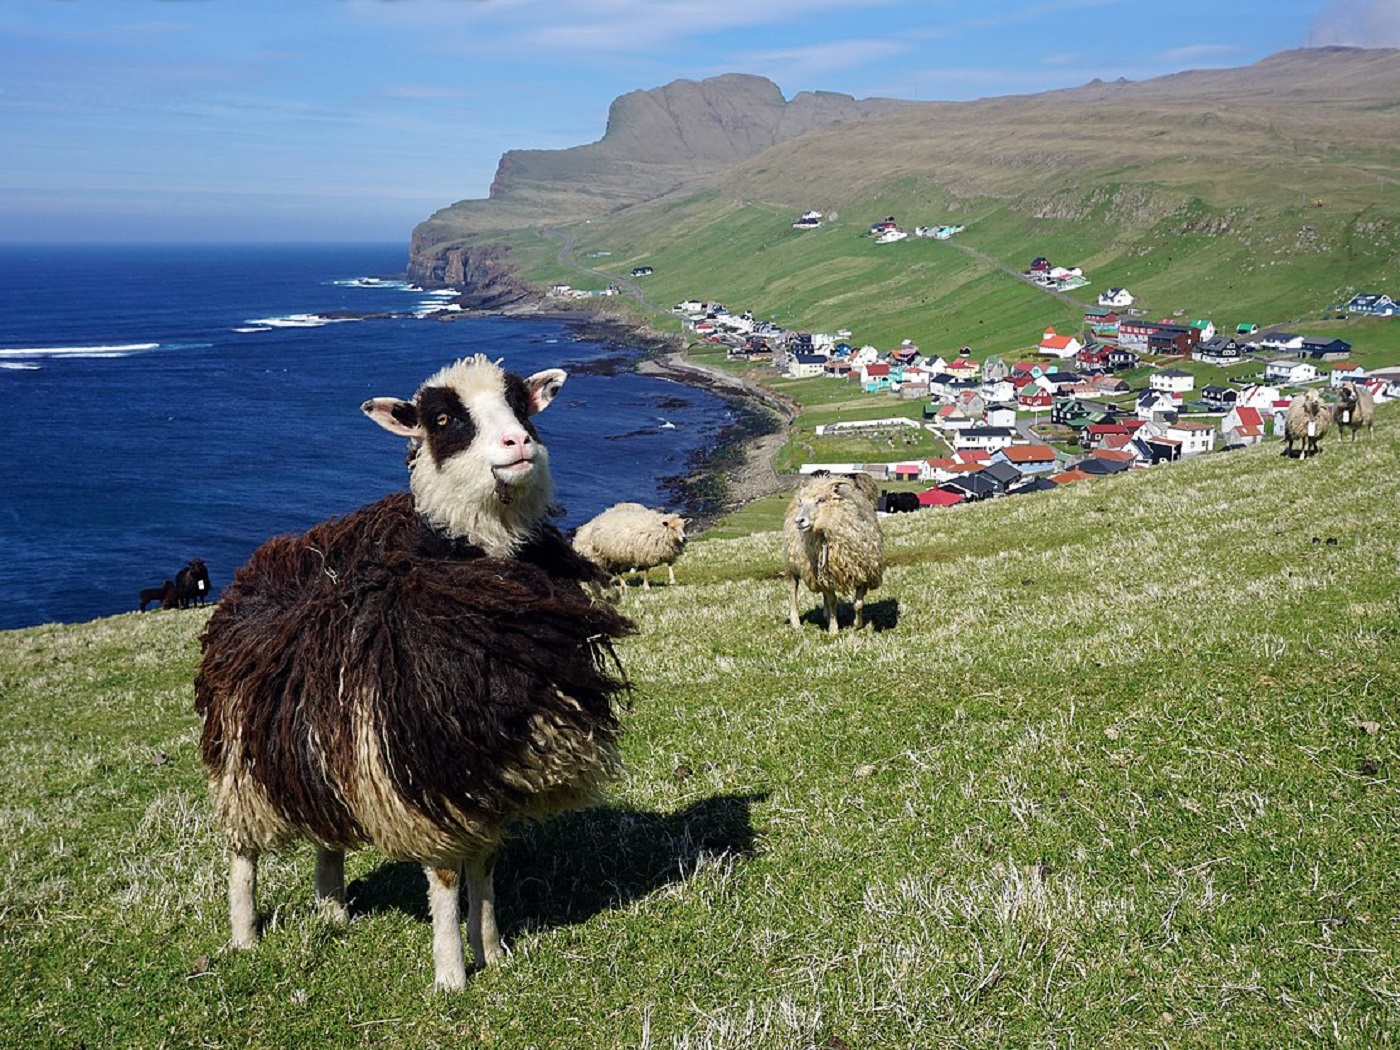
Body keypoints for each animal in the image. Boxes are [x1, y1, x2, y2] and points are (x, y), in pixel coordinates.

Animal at [194, 354, 634, 991]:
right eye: (445, 419)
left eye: (520, 404)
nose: (519, 442)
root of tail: (268, 559)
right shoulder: (425, 774)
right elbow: (447, 880)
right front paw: (451, 976)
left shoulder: (486, 772)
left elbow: (485, 867)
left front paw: (494, 951)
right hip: (240, 765)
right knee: (242, 852)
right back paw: (245, 936)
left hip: (322, 744)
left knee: (327, 835)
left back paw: (333, 911)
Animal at [783, 474, 884, 635]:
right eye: (801, 503)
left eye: (821, 500)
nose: (799, 521)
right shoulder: (828, 576)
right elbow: (832, 602)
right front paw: (833, 629)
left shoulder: (863, 572)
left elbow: (858, 603)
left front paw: (857, 624)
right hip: (792, 565)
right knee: (793, 590)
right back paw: (796, 622)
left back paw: (825, 615)